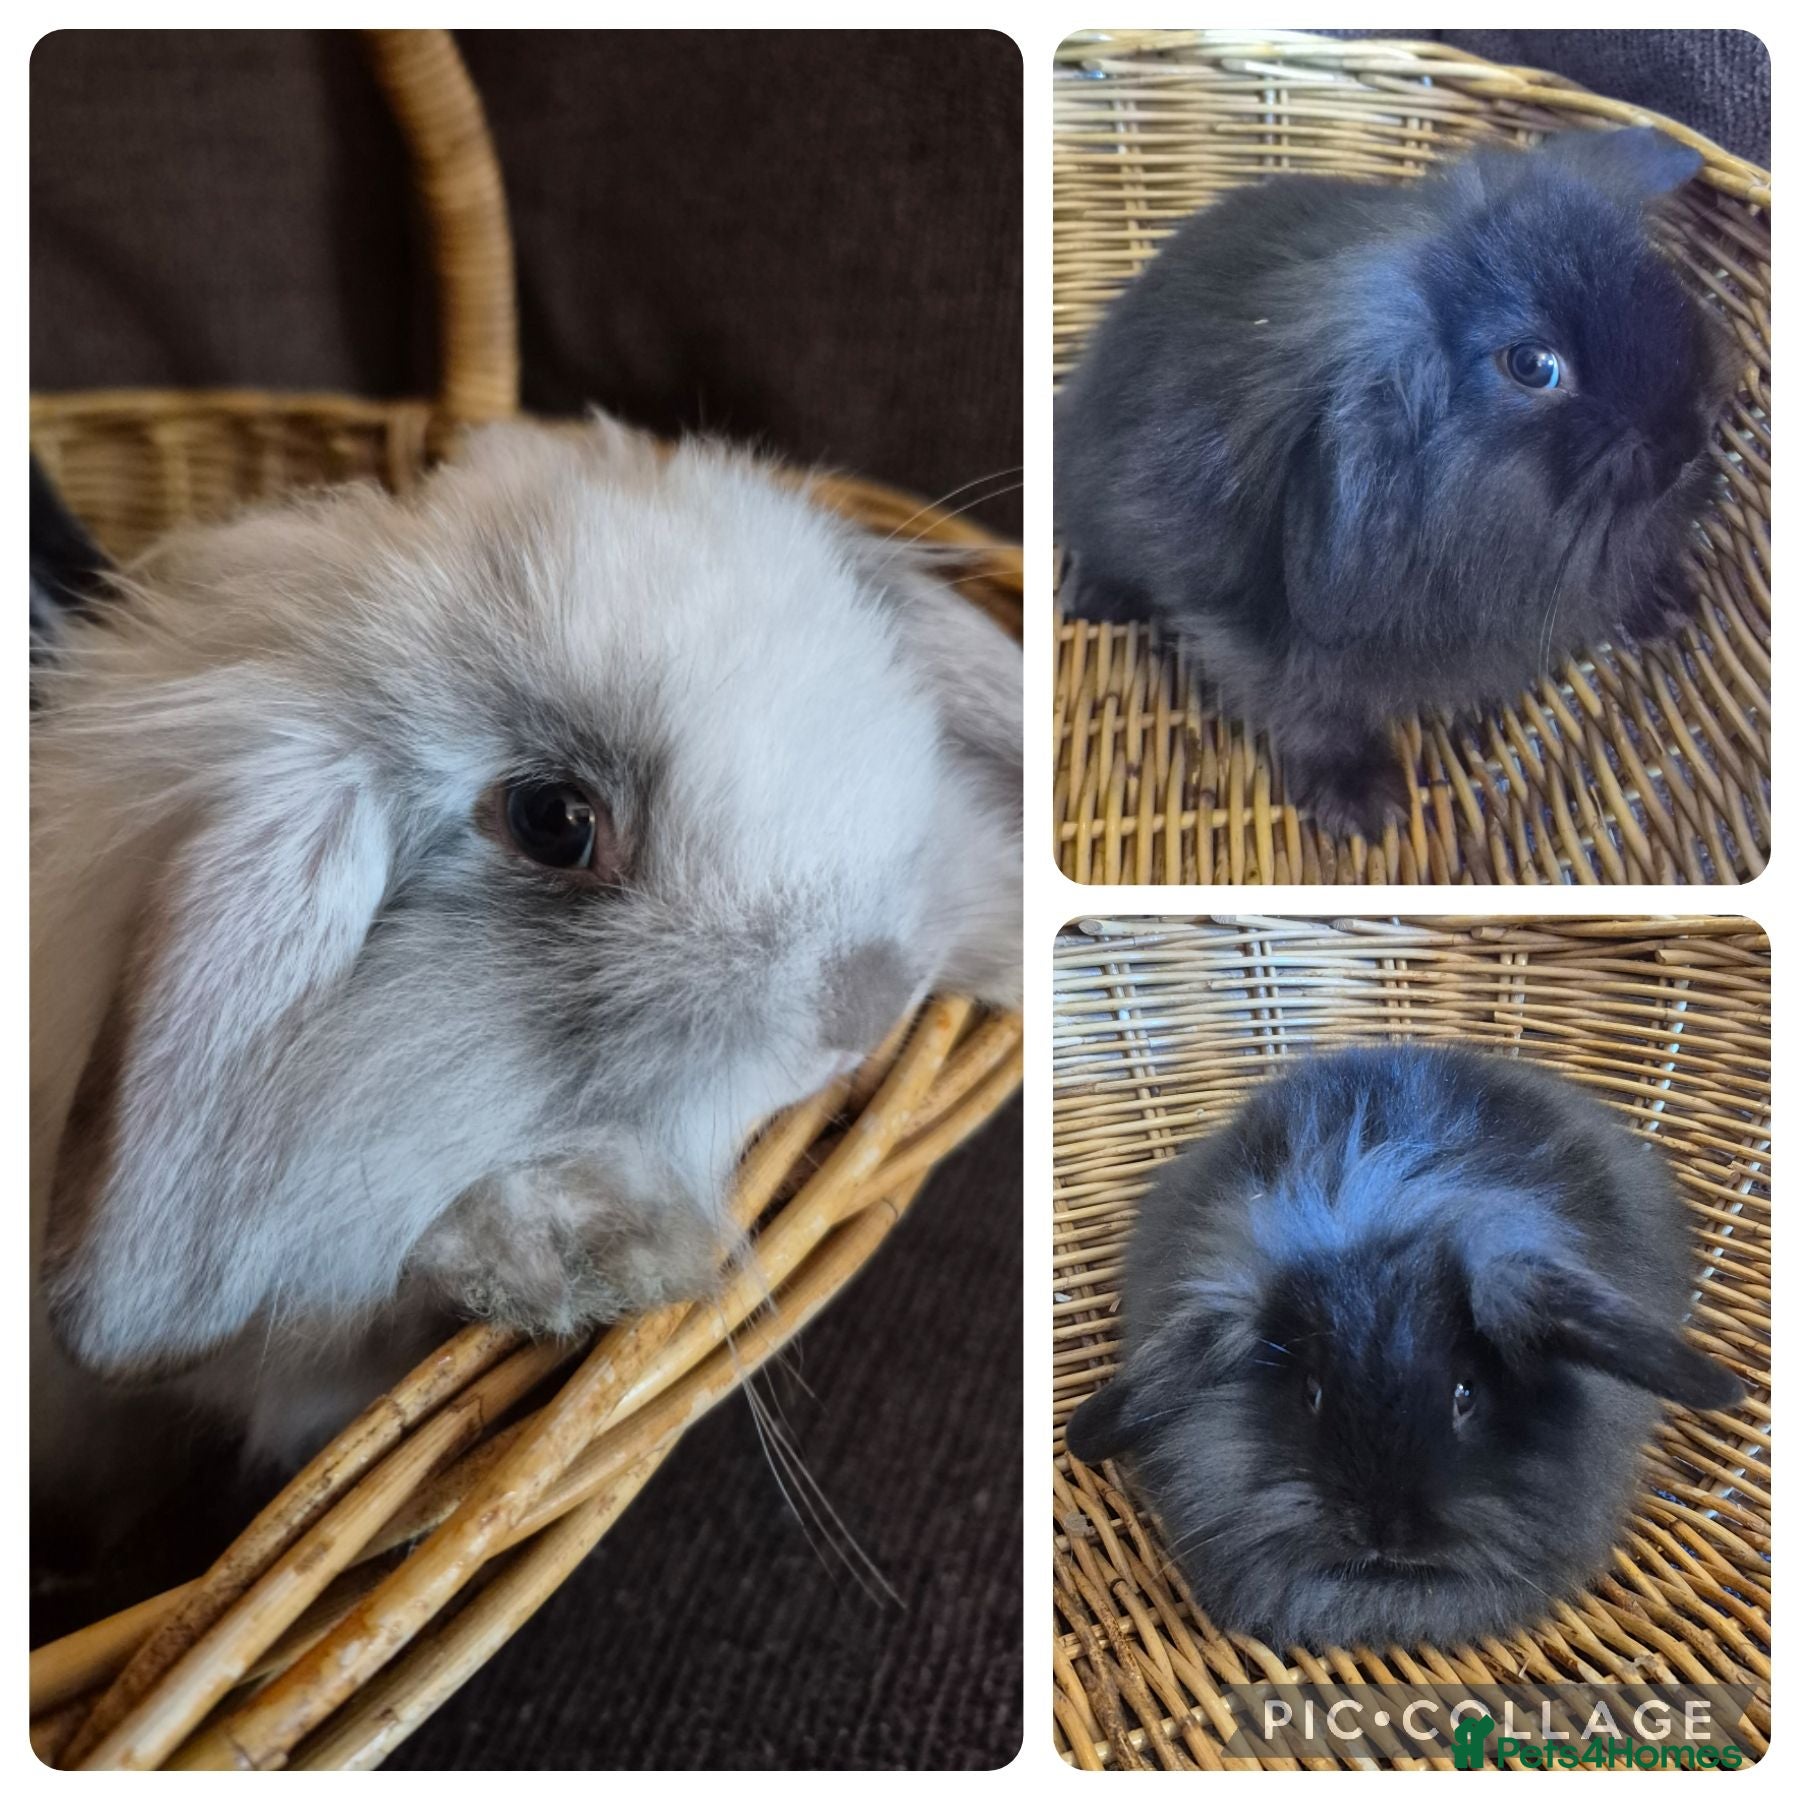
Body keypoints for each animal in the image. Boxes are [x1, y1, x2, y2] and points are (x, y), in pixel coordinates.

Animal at [1054, 126, 1736, 838]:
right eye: (1533, 365)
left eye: (1656, 282)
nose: (1687, 439)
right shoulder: (1246, 637)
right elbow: (1311, 711)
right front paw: (1365, 804)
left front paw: (1669, 600)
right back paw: (1095, 600)